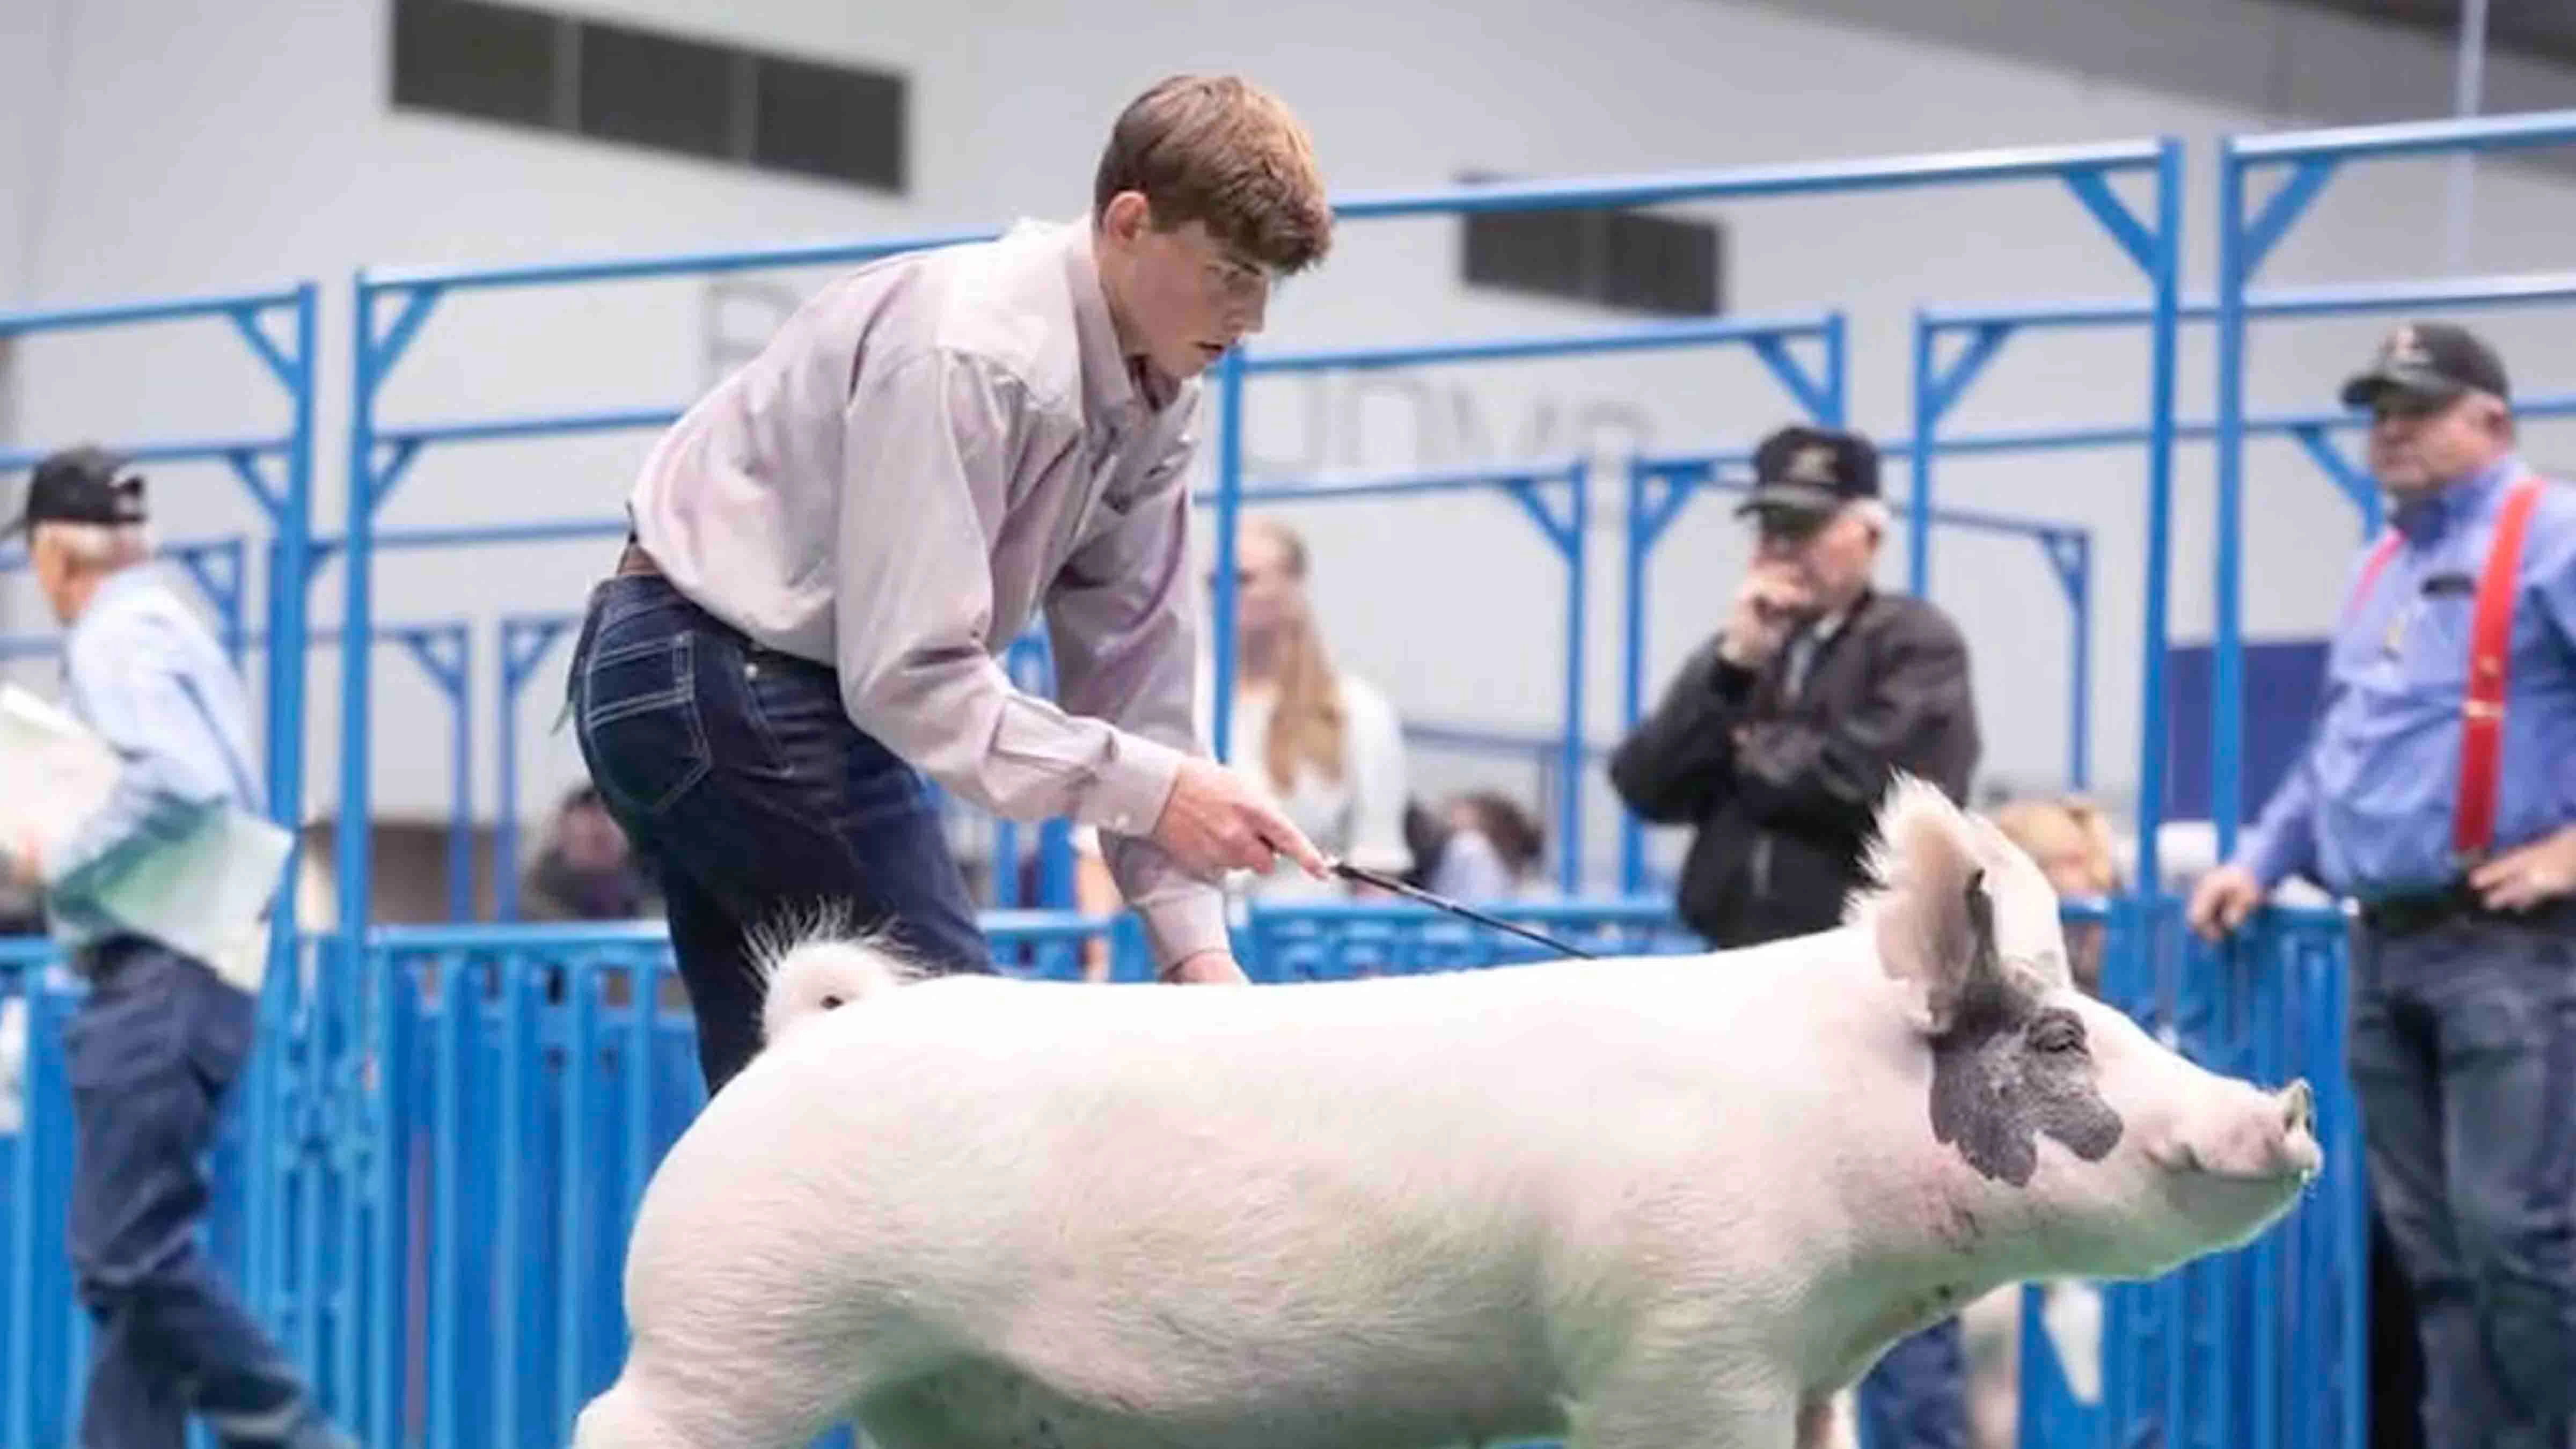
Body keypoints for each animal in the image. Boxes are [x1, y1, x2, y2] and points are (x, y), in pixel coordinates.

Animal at [571, 778, 2320, 1449]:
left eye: (2103, 1017)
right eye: (2057, 1033)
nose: (2285, 1105)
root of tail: (804, 1040)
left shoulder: (1806, 1369)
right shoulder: (1678, 1342)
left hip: (934, 1393)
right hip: (736, 1322)